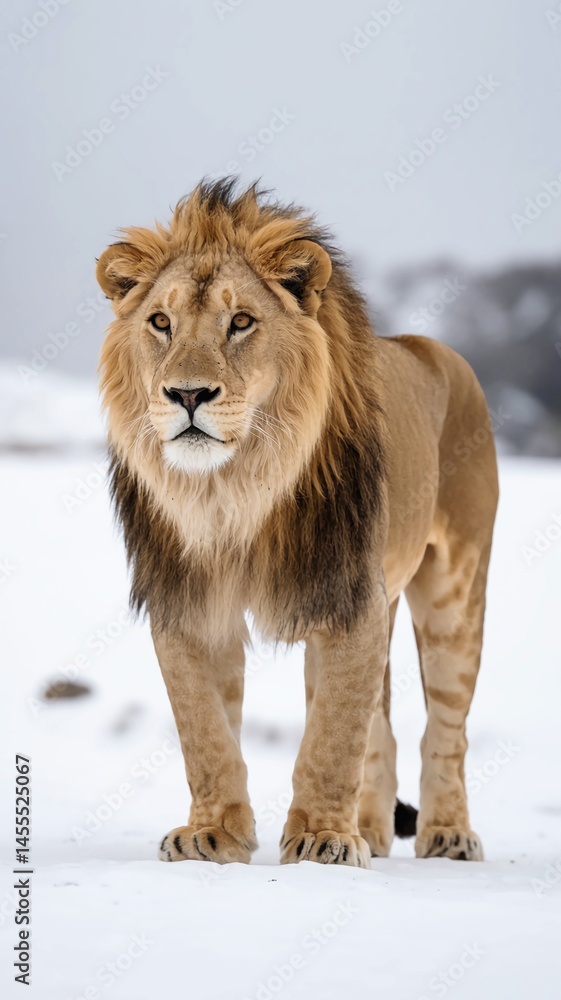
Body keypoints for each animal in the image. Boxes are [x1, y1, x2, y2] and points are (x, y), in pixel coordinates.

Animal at [97, 179, 498, 867]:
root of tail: (430, 347)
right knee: (382, 734)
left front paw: (321, 841)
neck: (232, 491)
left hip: (455, 591)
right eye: (160, 323)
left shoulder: (346, 598)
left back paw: (447, 834)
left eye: (240, 322)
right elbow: (205, 731)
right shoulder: (187, 600)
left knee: (444, 732)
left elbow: (332, 736)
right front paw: (213, 835)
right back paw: (371, 832)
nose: (187, 394)